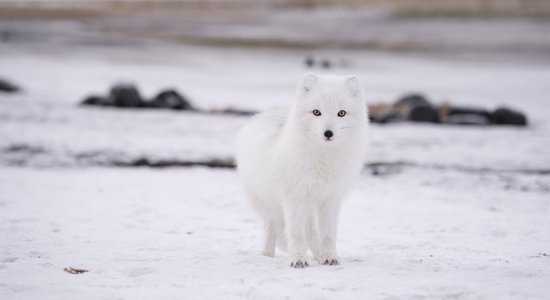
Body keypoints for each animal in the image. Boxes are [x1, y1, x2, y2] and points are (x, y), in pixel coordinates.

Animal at [235, 74, 368, 268]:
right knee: (272, 227)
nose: (328, 133)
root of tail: (260, 116)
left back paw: (319, 255)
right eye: (316, 112)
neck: (322, 159)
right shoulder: (294, 198)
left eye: (341, 113)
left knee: (311, 232)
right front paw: (297, 259)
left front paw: (329, 257)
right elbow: (296, 233)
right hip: (268, 202)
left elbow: (328, 234)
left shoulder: (331, 199)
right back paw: (266, 255)